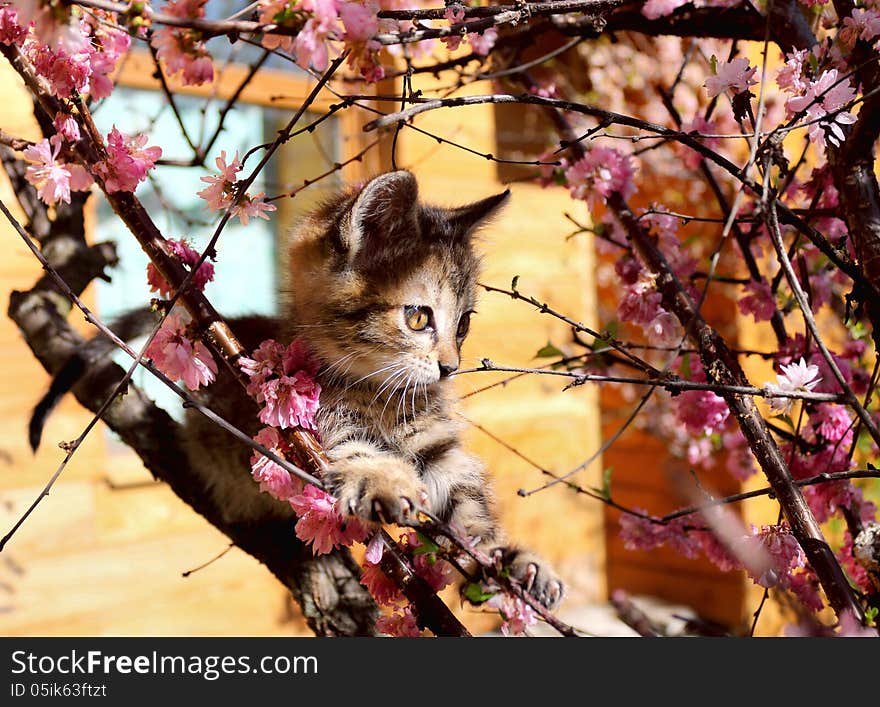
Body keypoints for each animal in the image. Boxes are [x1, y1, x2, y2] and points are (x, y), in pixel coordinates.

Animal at [29, 170, 564, 608]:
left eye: (465, 324)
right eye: (418, 318)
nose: (451, 368)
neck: (379, 392)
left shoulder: (438, 447)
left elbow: (469, 508)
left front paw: (511, 559)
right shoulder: (311, 423)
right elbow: (358, 454)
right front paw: (387, 481)